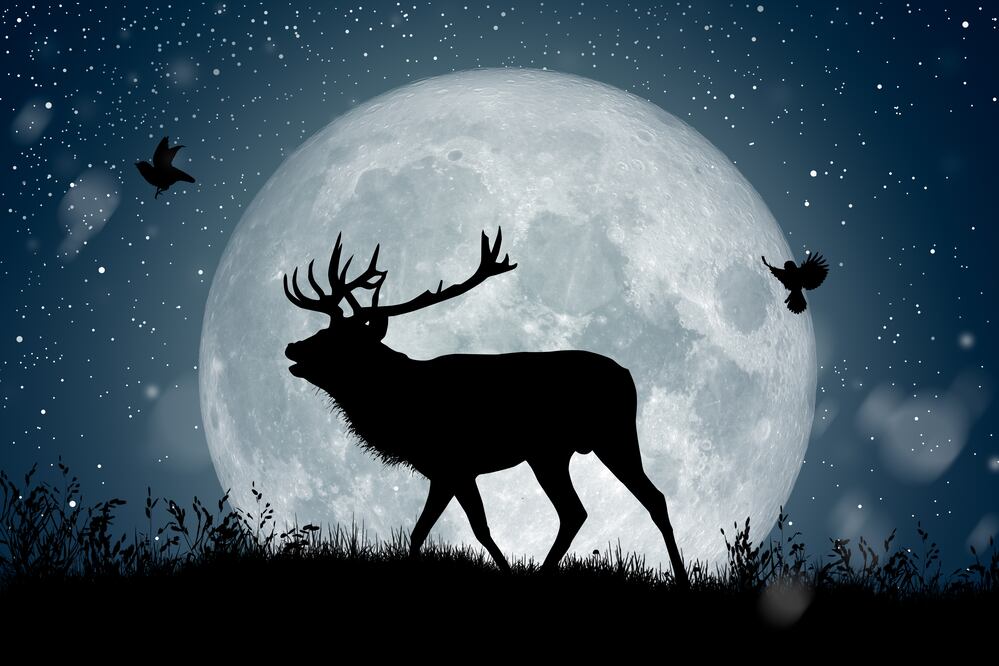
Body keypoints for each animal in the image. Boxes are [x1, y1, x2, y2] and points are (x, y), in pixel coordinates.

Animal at [282, 228, 690, 588]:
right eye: (324, 330)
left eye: (341, 340)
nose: (292, 347)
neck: (399, 405)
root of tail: (628, 376)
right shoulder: (445, 472)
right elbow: (423, 532)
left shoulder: (455, 465)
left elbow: (472, 529)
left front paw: (505, 573)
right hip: (555, 453)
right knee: (591, 508)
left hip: (605, 437)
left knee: (632, 501)